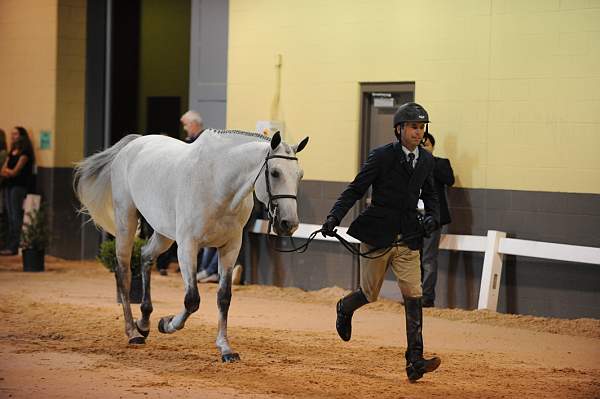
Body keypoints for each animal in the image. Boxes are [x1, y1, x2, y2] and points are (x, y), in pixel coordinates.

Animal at [74, 130, 308, 362]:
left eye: (300, 175)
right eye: (275, 173)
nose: (288, 224)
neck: (218, 184)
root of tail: (134, 144)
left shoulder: (231, 247)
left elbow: (224, 297)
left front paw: (225, 348)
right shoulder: (187, 246)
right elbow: (192, 300)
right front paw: (167, 323)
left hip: (163, 232)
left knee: (145, 255)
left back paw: (144, 323)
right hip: (126, 220)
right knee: (123, 272)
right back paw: (133, 332)